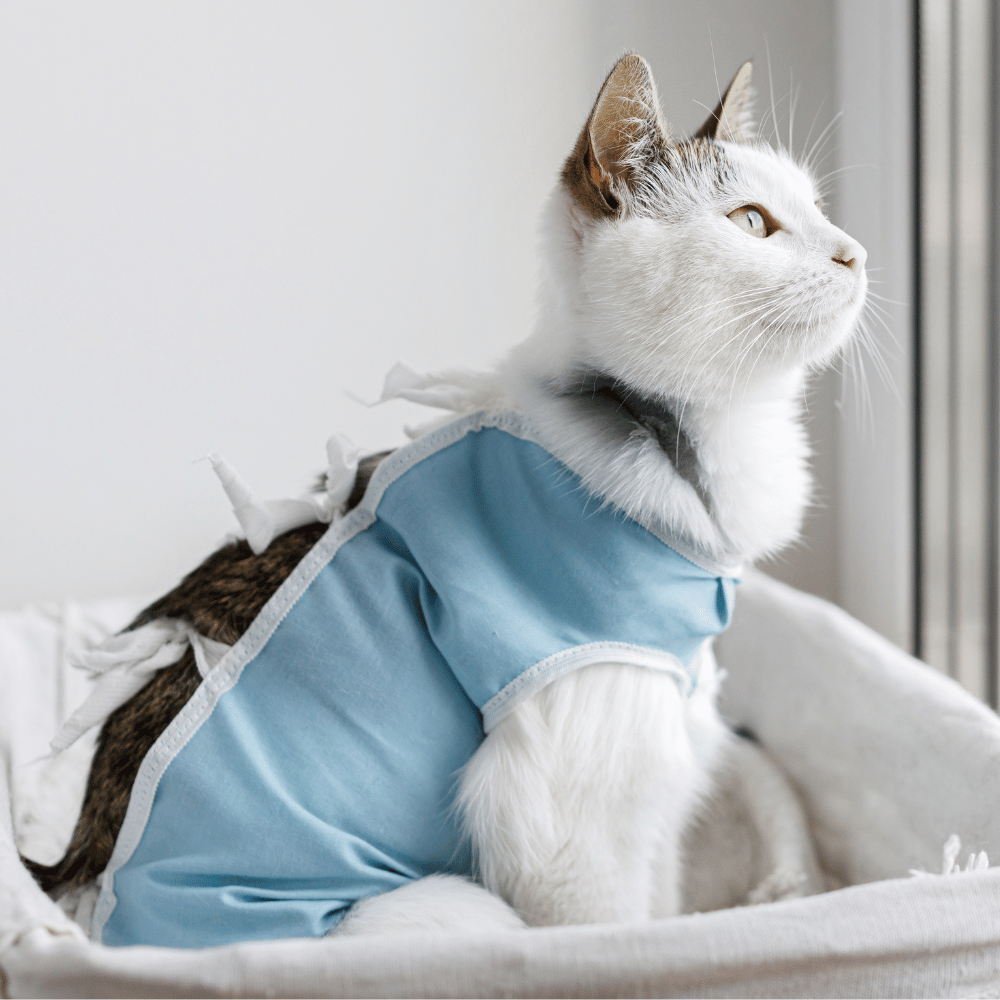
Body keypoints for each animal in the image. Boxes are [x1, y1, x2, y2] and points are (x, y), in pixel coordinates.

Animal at [25, 52, 868, 944]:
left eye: (815, 208)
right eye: (751, 222)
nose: (854, 253)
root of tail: (78, 882)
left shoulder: (667, 761)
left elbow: (661, 903)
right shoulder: (575, 801)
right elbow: (610, 933)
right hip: (449, 910)